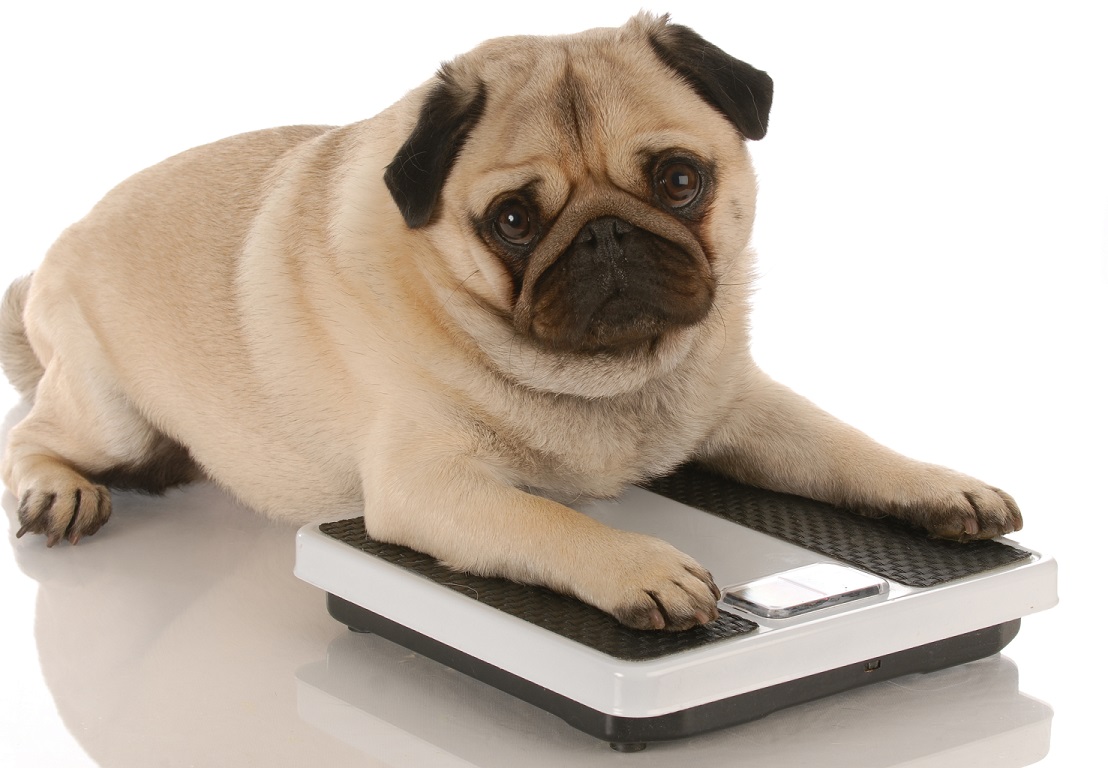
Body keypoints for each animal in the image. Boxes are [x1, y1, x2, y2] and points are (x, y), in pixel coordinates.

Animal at [0, 13, 1019, 629]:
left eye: (679, 180)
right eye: (515, 221)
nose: (606, 235)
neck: (610, 382)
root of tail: (63, 241)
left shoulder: (743, 410)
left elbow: (847, 447)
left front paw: (939, 487)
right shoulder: (429, 487)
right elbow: (550, 522)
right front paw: (638, 564)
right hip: (106, 409)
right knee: (34, 436)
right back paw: (61, 490)